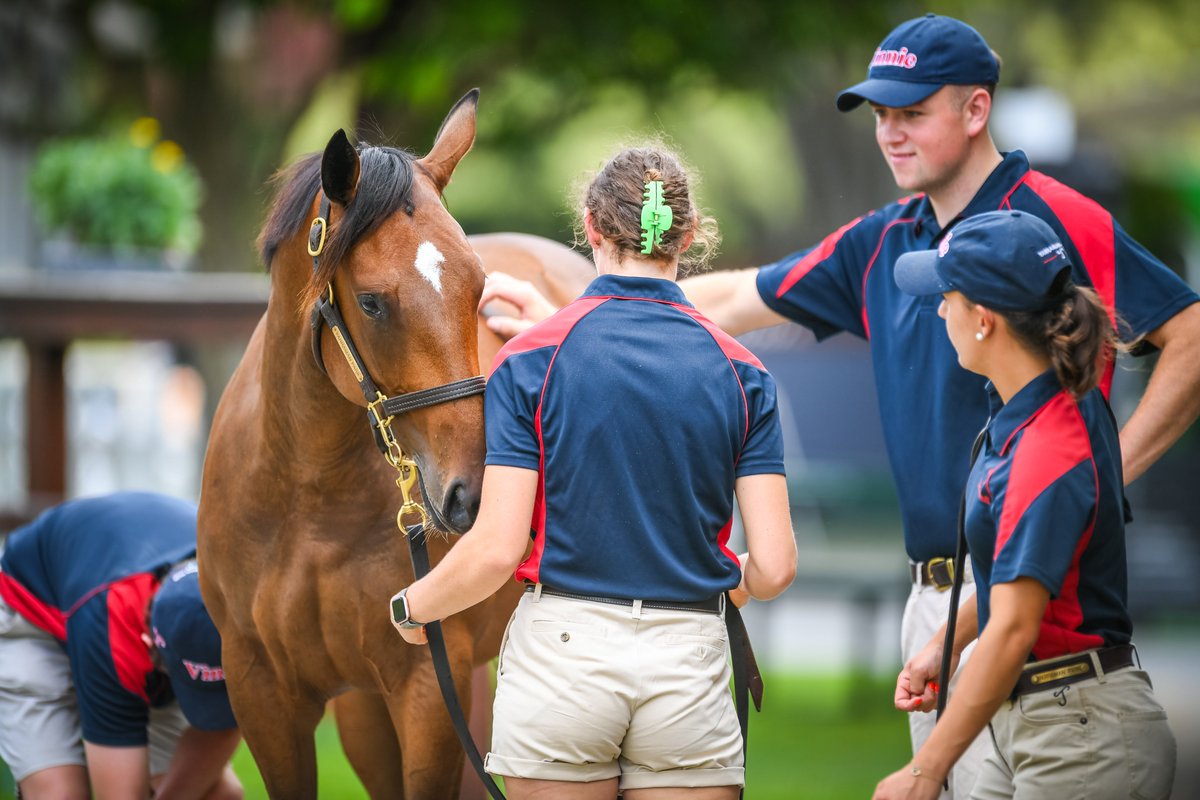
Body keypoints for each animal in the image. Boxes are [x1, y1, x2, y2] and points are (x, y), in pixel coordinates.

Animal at [199, 90, 597, 796]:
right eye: (371, 302)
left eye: (478, 288)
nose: (476, 494)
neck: (305, 494)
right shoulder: (262, 691)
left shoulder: (426, 687)